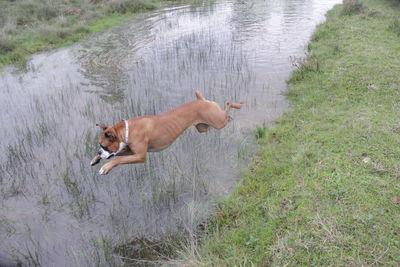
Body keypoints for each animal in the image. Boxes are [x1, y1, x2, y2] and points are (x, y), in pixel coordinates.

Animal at [90, 91, 242, 176]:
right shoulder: (130, 151)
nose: (99, 152)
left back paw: (237, 106)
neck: (126, 130)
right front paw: (95, 159)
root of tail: (201, 100)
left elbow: (118, 159)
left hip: (218, 122)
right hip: (203, 128)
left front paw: (105, 167)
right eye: (100, 146)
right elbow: (118, 155)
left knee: (227, 106)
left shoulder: (140, 156)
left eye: (104, 146)